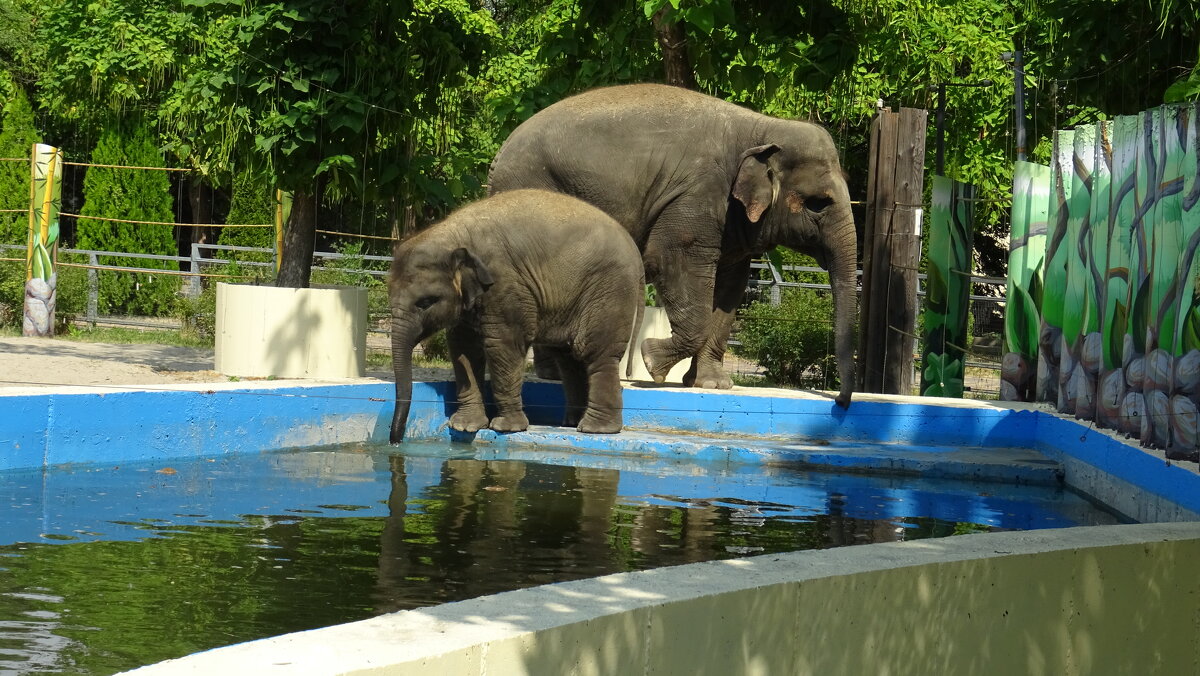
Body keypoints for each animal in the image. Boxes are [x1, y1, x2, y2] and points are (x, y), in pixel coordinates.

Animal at [388, 190, 643, 444]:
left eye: (425, 302)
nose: (395, 440)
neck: (453, 234)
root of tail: (635, 252)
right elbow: (464, 348)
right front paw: (464, 426)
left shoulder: (506, 285)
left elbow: (503, 344)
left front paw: (505, 427)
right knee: (569, 358)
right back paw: (571, 423)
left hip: (610, 291)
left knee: (594, 352)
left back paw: (595, 429)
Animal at [492, 82, 859, 405]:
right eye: (818, 204)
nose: (841, 403)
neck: (763, 127)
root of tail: (500, 154)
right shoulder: (695, 200)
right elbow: (672, 261)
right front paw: (652, 363)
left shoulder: (732, 223)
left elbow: (730, 288)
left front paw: (711, 384)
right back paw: (553, 374)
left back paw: (554, 372)